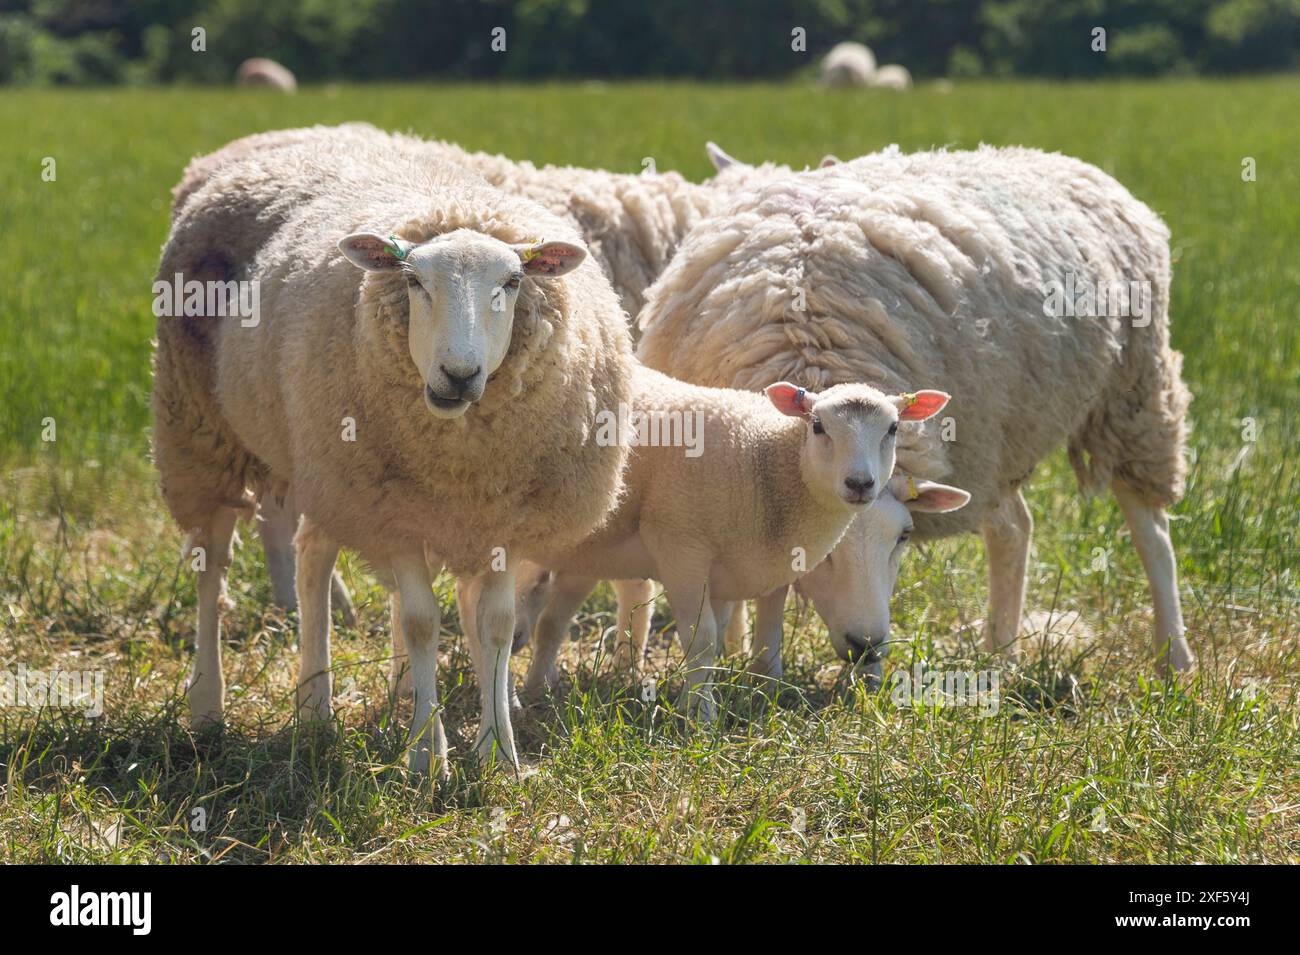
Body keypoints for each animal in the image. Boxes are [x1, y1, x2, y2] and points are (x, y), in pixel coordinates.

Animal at [152, 134, 633, 774]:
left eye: (511, 282)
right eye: (414, 282)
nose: (459, 375)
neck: (460, 457)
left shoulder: (504, 516)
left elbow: (497, 624)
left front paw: (498, 752)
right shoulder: (392, 512)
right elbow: (422, 621)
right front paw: (427, 754)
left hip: (323, 463)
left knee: (312, 557)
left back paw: (317, 709)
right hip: (202, 430)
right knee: (213, 567)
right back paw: (208, 707)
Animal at [636, 146, 1196, 677]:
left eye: (904, 536)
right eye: (824, 549)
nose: (867, 646)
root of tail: (1065, 161)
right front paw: (745, 657)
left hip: (1132, 390)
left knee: (1152, 535)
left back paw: (1174, 657)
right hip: (997, 437)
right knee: (1014, 527)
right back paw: (1002, 651)